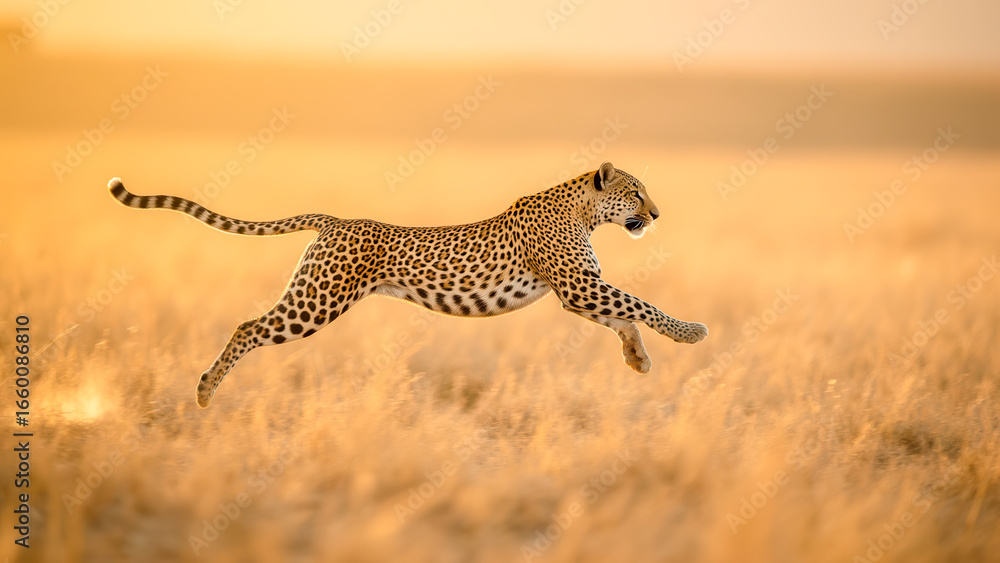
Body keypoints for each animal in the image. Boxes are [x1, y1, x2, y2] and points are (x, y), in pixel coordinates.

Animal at [108, 161, 708, 408]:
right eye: (635, 192)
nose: (656, 214)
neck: (583, 208)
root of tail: (335, 219)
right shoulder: (579, 286)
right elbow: (641, 304)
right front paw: (691, 332)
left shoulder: (578, 292)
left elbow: (625, 317)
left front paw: (638, 359)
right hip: (316, 303)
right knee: (248, 326)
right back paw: (206, 389)